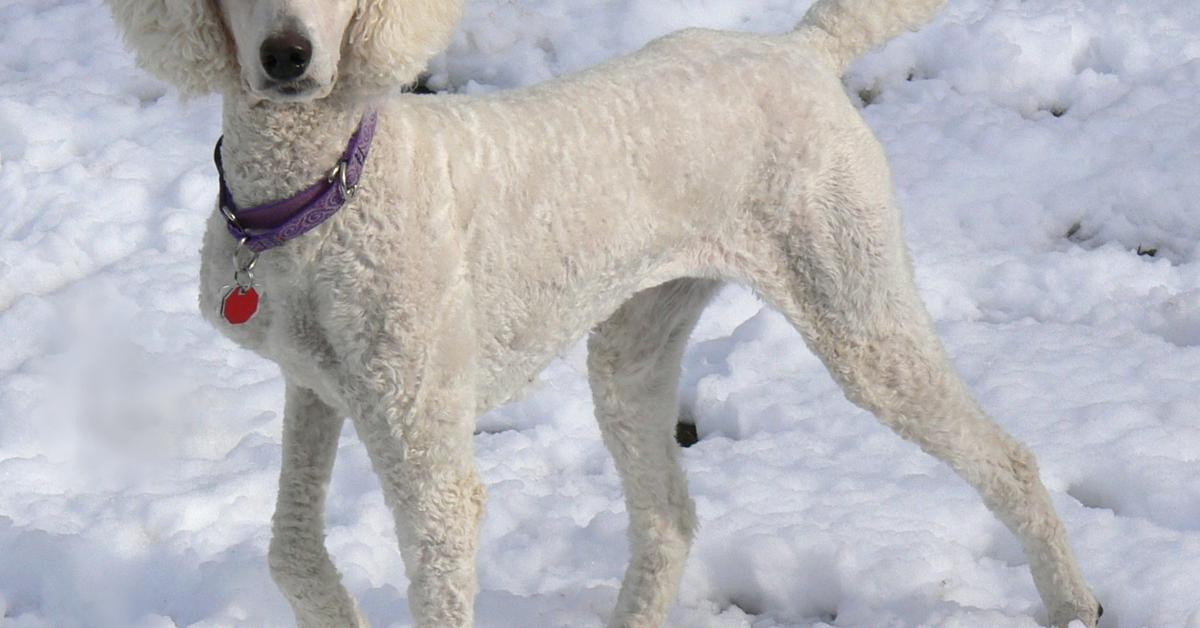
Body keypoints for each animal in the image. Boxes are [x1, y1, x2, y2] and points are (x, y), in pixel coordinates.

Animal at [108, 1, 1099, 628]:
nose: (289, 58)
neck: (328, 185)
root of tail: (803, 48)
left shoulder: (424, 447)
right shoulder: (316, 387)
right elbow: (289, 551)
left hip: (856, 309)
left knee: (1008, 460)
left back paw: (1072, 603)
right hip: (631, 347)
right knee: (669, 519)